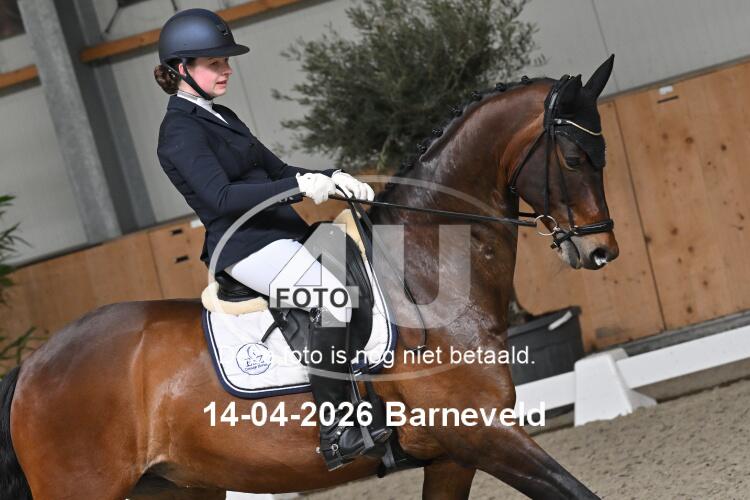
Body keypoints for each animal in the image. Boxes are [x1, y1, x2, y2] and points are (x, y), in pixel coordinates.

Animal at [1, 56, 618, 500]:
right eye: (572, 158)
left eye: (603, 153)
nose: (601, 250)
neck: (426, 274)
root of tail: (31, 365)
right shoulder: (481, 433)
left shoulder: (452, 456)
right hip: (82, 487)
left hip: (175, 488)